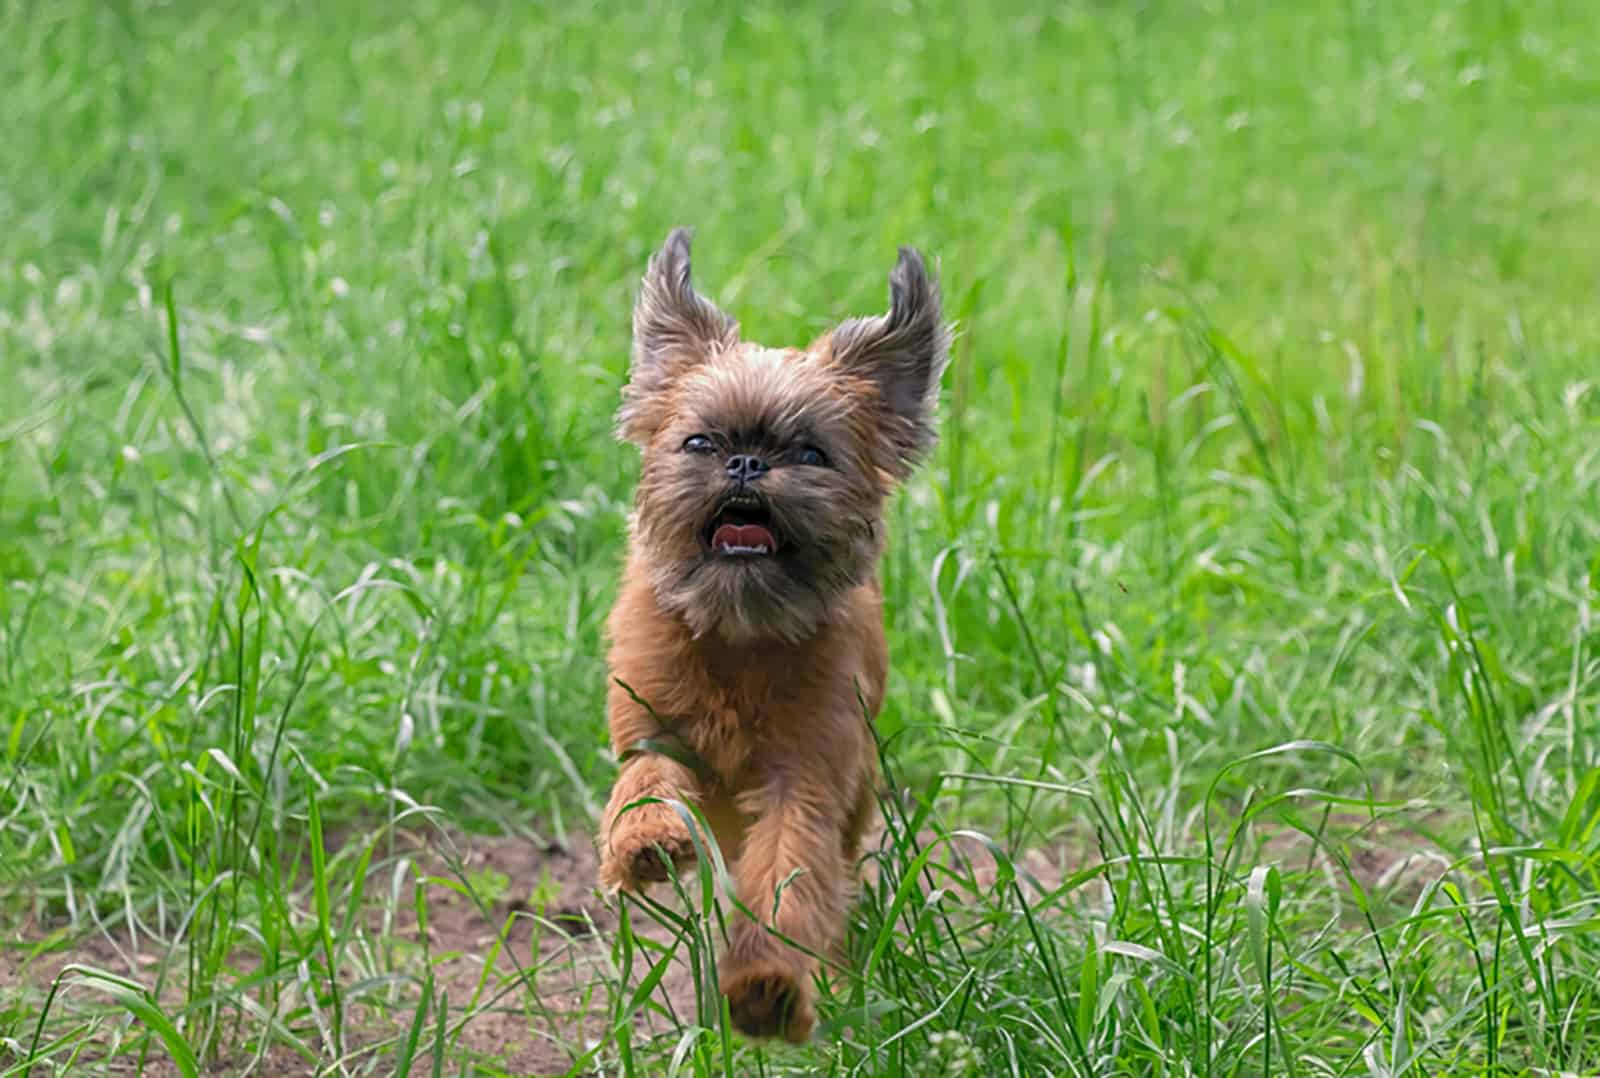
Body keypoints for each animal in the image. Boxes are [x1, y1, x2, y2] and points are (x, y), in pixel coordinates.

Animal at [601, 228, 947, 1042]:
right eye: (700, 442)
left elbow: (789, 878)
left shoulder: (807, 780)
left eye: (812, 454)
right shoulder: (652, 728)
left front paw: (768, 989)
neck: (737, 638)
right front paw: (645, 841)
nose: (748, 460)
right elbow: (644, 781)